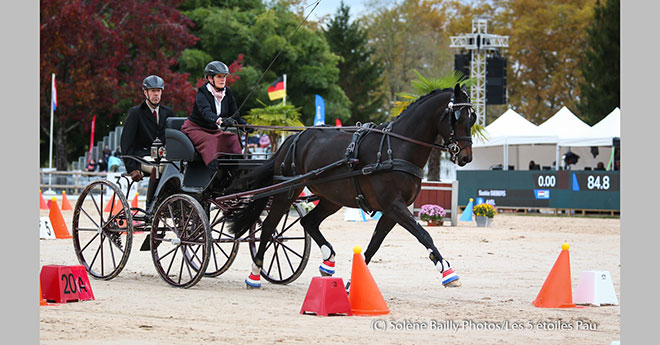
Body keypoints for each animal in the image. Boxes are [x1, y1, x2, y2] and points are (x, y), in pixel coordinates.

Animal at [227, 82, 474, 288]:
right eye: (458, 117)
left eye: (472, 118)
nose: (466, 157)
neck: (397, 147)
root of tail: (292, 139)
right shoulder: (394, 205)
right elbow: (423, 235)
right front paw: (448, 272)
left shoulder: (390, 211)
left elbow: (374, 244)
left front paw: (350, 283)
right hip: (287, 191)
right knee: (269, 227)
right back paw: (254, 274)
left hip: (331, 198)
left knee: (308, 222)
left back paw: (328, 260)